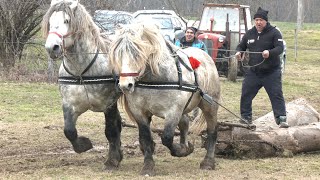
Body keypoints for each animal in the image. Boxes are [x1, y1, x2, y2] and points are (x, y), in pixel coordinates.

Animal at [41, 0, 122, 169]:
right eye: (50, 22)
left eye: (66, 21)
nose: (52, 48)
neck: (81, 72)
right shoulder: (69, 104)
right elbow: (69, 130)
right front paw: (84, 145)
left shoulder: (109, 103)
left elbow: (111, 130)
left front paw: (112, 160)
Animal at [109, 21, 221, 175]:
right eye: (118, 54)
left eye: (137, 53)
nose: (126, 85)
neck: (155, 80)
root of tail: (205, 55)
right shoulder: (139, 112)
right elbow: (146, 137)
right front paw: (148, 165)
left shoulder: (173, 111)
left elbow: (167, 138)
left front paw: (179, 151)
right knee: (185, 122)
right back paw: (186, 146)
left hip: (209, 106)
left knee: (212, 130)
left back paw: (208, 161)